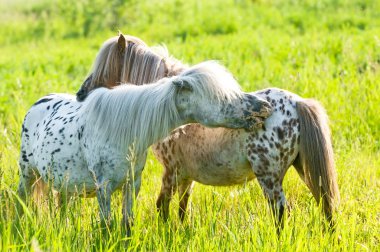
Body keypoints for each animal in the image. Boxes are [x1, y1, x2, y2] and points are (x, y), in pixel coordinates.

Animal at [19, 61, 272, 230]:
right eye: (223, 97)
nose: (264, 106)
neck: (121, 132)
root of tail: (36, 105)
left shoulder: (132, 184)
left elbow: (127, 222)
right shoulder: (104, 188)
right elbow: (107, 224)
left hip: (64, 186)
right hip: (27, 175)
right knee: (22, 204)